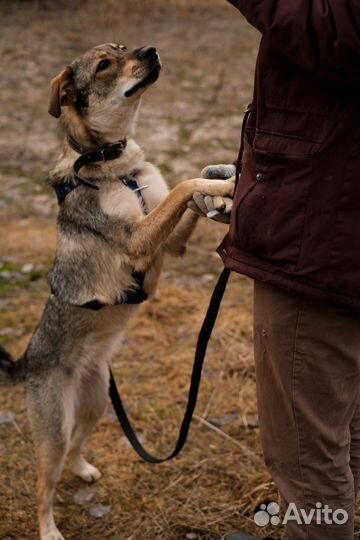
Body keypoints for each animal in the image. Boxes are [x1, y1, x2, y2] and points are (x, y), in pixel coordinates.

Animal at [0, 43, 233, 540]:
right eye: (105, 65)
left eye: (124, 48)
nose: (152, 49)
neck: (112, 164)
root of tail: (30, 361)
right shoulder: (139, 243)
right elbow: (185, 186)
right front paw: (222, 183)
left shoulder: (169, 244)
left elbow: (184, 193)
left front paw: (219, 191)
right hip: (54, 427)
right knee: (44, 484)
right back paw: (48, 529)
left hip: (95, 405)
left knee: (75, 449)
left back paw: (84, 470)